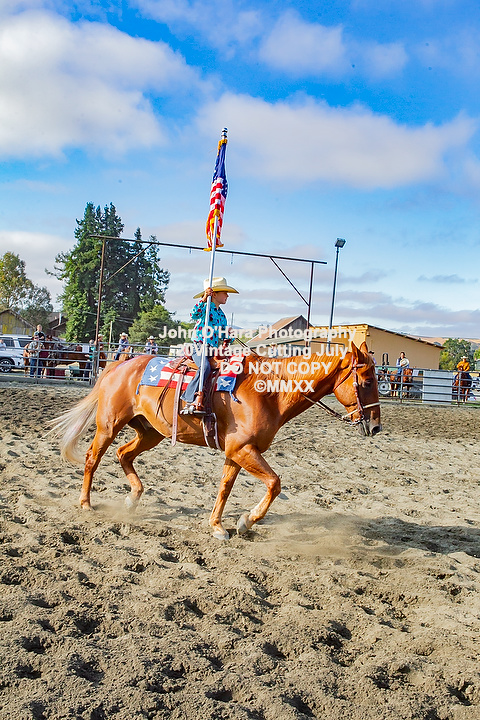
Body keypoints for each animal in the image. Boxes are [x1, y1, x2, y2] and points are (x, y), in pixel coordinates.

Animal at [51, 342, 381, 540]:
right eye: (366, 381)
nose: (376, 426)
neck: (268, 392)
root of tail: (117, 365)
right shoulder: (243, 449)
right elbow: (275, 483)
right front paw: (247, 521)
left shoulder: (237, 451)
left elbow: (225, 487)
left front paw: (218, 525)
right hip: (109, 425)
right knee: (93, 458)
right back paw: (86, 503)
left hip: (150, 432)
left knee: (124, 454)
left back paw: (133, 497)